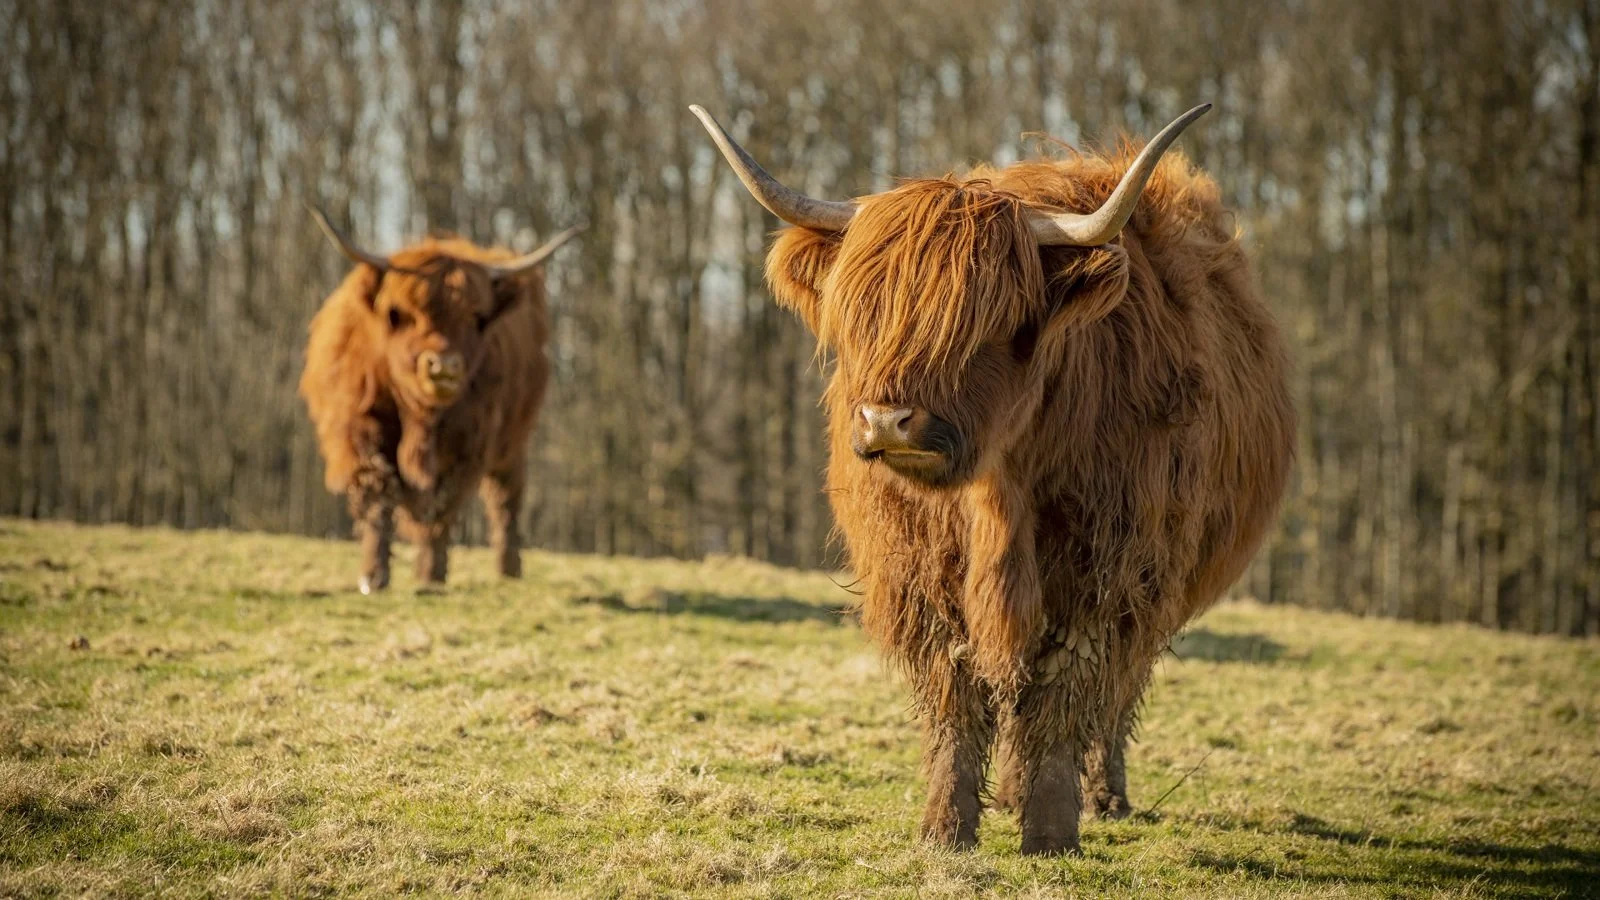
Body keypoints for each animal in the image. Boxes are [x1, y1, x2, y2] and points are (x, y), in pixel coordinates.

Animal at [298, 210, 583, 594]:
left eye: (476, 317)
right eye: (400, 314)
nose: (443, 366)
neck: (420, 416)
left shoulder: (468, 444)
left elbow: (441, 504)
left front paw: (431, 572)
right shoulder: (362, 430)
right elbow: (379, 494)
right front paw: (374, 576)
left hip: (513, 439)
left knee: (506, 496)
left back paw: (508, 568)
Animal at [692, 103, 1294, 855]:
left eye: (990, 321)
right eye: (865, 312)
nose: (888, 421)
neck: (999, 491)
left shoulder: (1105, 571)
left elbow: (1066, 692)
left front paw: (1052, 830)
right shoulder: (923, 570)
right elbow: (958, 693)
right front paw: (946, 828)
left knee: (1115, 694)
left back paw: (1105, 796)